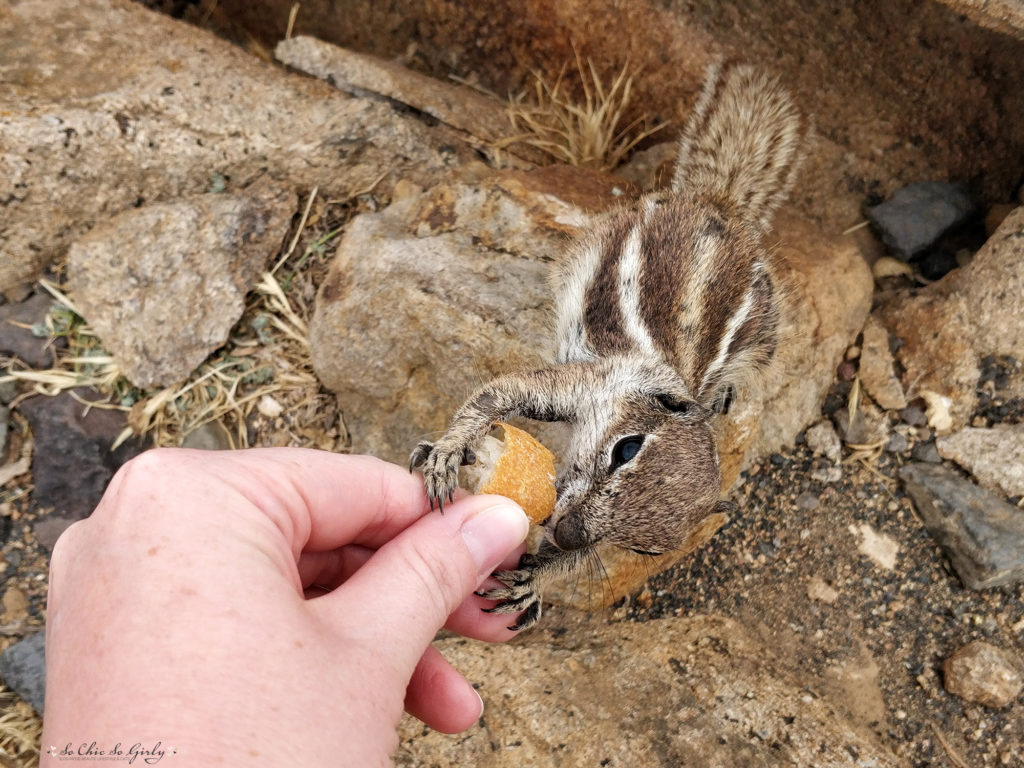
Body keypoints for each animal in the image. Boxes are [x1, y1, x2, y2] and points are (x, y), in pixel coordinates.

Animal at [410, 62, 807, 630]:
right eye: (626, 449)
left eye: (645, 550)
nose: (567, 531)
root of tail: (719, 202)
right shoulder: (591, 380)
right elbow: (498, 393)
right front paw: (447, 452)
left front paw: (536, 578)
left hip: (766, 334)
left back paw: (723, 391)